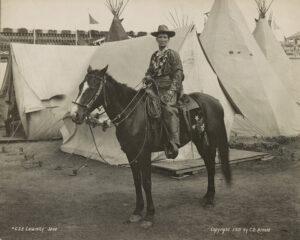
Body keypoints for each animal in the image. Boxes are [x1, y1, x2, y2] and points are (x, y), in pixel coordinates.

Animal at [71, 65, 232, 229]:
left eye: (92, 87)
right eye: (80, 86)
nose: (75, 115)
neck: (132, 115)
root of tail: (215, 101)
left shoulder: (144, 153)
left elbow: (147, 183)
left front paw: (149, 215)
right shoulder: (131, 154)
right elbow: (137, 181)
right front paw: (137, 211)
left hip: (209, 140)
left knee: (211, 164)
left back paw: (210, 200)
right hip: (199, 141)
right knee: (209, 163)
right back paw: (207, 196)